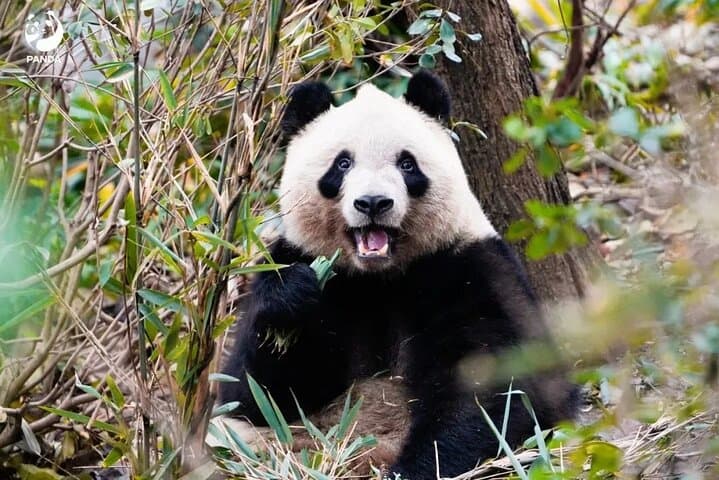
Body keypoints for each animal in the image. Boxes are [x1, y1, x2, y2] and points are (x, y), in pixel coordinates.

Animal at [218, 71, 577, 479]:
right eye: (343, 164)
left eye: (407, 164)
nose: (373, 203)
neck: (379, 277)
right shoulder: (308, 264)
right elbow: (256, 395)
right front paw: (290, 297)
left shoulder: (469, 269)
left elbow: (493, 387)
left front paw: (415, 468)